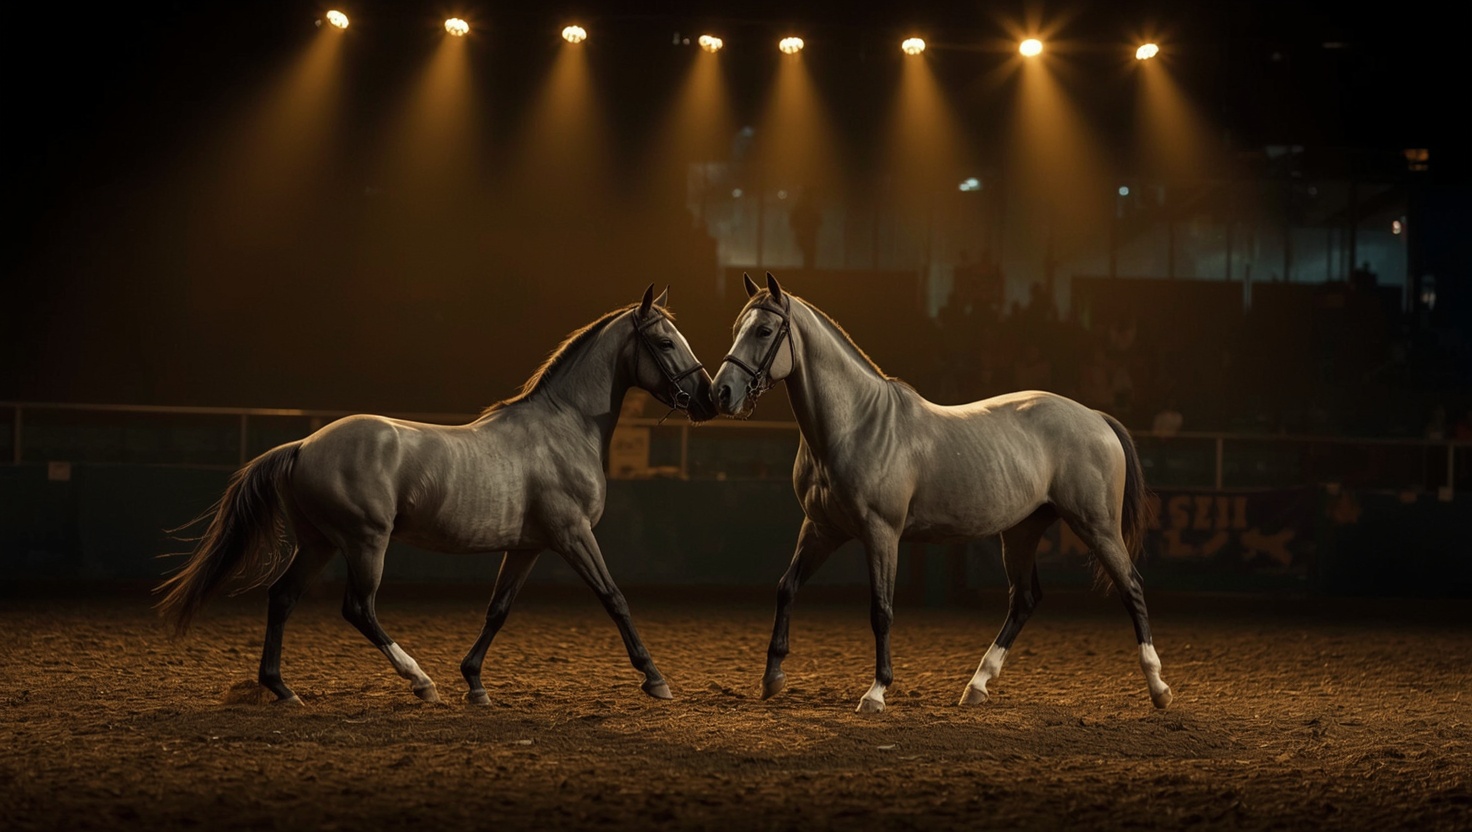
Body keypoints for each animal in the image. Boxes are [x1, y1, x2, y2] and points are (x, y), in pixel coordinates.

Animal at [155, 285, 717, 705]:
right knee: (358, 609)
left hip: (318, 543)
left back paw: (282, 689)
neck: (564, 427)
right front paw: (655, 680)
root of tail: (301, 445)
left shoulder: (529, 546)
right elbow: (614, 598)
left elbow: (498, 610)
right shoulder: (573, 535)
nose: (710, 398)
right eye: (665, 343)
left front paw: (475, 683)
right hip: (364, 542)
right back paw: (420, 682)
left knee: (283, 597)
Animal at [711, 272, 1172, 713]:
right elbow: (786, 587)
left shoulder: (881, 533)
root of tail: (1094, 416)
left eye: (765, 330)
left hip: (1097, 526)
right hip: (1022, 531)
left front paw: (876, 692)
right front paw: (772, 678)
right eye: (736, 328)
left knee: (1131, 587)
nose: (721, 392)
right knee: (1024, 599)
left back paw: (1159, 688)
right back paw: (977, 686)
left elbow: (881, 610)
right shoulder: (822, 529)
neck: (857, 424)